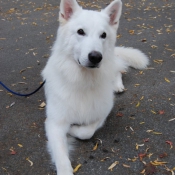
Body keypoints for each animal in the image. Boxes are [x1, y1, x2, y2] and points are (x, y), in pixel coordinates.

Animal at [41, 0, 149, 174]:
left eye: (103, 35)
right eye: (80, 32)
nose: (96, 57)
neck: (84, 81)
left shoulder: (103, 112)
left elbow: (86, 131)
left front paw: (72, 130)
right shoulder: (55, 123)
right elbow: (62, 156)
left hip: (112, 63)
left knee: (118, 70)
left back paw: (117, 85)